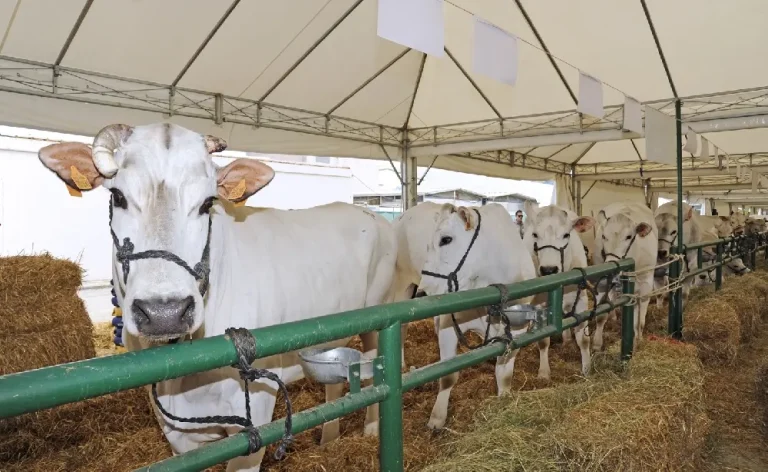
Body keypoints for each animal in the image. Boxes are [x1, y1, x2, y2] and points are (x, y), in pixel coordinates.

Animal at [36, 124, 396, 472]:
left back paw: (372, 430)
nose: (164, 312)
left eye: (207, 204)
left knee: (376, 368)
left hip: (379, 314)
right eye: (118, 196)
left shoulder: (255, 414)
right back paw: (329, 437)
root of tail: (364, 211)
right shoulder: (174, 429)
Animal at [408, 201, 540, 430]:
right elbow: (448, 374)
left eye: (446, 239)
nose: (421, 293)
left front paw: (504, 399)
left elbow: (504, 371)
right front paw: (436, 419)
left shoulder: (518, 330)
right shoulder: (448, 323)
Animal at [520, 201, 592, 374]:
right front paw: (544, 372)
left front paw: (587, 369)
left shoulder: (581, 298)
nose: (548, 270)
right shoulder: (539, 304)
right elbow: (543, 341)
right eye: (535, 235)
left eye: (566, 235)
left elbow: (584, 339)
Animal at [592, 201, 656, 348]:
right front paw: (597, 343)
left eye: (628, 237)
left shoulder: (646, 281)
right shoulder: (601, 282)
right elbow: (600, 316)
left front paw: (638, 340)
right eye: (604, 236)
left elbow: (639, 321)